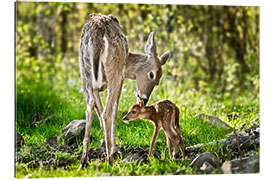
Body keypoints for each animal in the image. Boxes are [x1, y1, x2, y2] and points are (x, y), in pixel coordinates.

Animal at [78, 13, 170, 168]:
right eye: (152, 75)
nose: (144, 99)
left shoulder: (96, 87)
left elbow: (97, 109)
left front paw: (107, 145)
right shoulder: (121, 78)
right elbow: (114, 111)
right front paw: (113, 150)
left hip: (85, 73)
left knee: (90, 108)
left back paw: (84, 160)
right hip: (114, 71)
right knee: (107, 113)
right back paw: (110, 160)